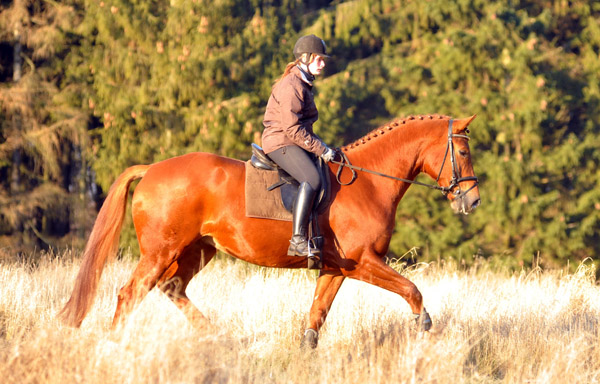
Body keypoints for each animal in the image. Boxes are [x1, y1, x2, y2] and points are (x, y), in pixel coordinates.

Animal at [58, 113, 480, 348]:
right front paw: (424, 328)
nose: (471, 201)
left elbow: (316, 316)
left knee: (171, 288)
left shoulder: (336, 268)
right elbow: (412, 290)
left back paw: (218, 338)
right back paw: (115, 345)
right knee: (130, 294)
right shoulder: (364, 263)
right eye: (462, 152)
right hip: (160, 251)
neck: (369, 182)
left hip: (197, 250)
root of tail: (152, 169)